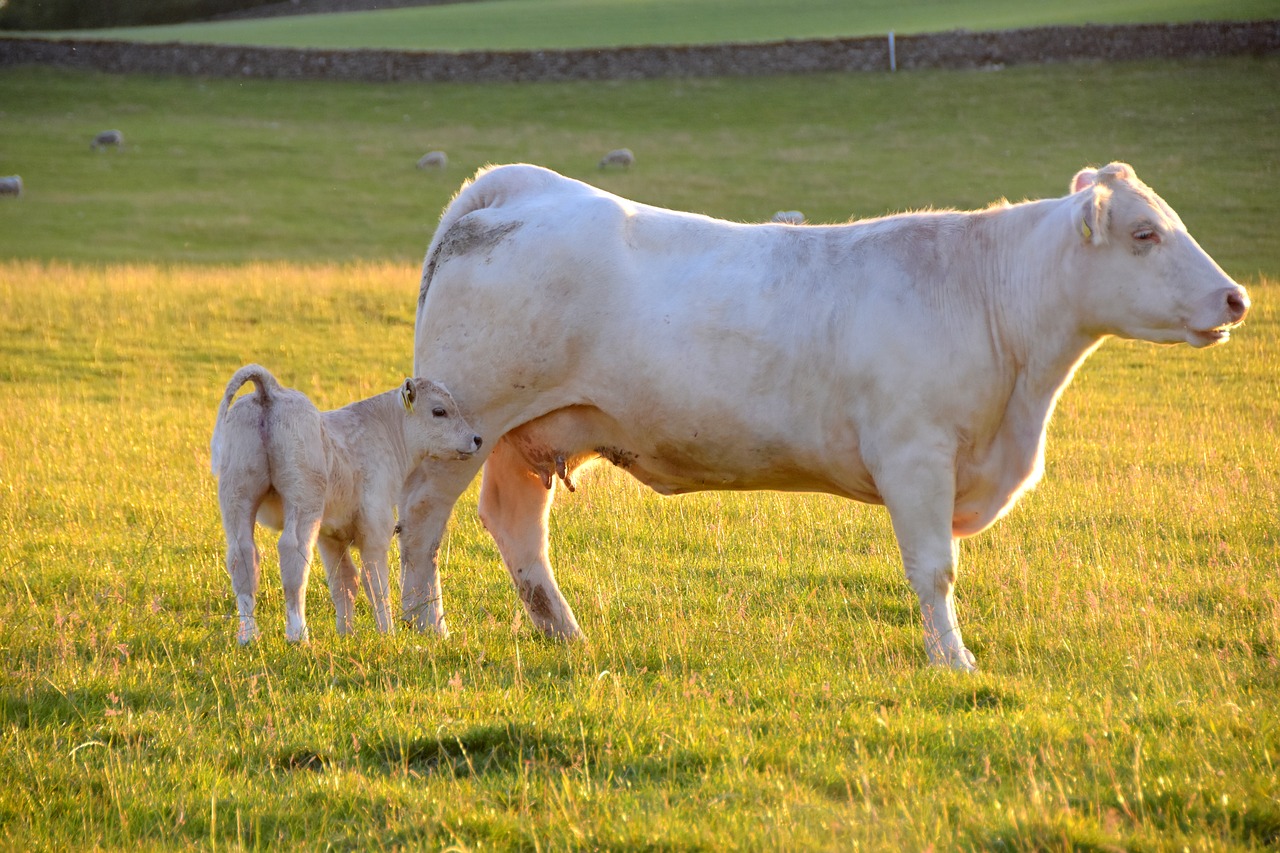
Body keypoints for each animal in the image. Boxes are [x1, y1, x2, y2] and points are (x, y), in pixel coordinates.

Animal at [212, 361, 481, 640]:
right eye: (439, 411)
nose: (477, 439)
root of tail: (269, 391)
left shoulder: (331, 537)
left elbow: (344, 581)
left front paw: (345, 633)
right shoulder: (375, 529)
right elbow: (375, 582)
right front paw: (387, 632)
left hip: (238, 495)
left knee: (242, 555)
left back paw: (248, 636)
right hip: (302, 502)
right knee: (293, 553)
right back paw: (298, 635)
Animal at [401, 157, 1249, 666]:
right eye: (1145, 232)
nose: (1236, 296)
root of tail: (520, 185)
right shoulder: (915, 454)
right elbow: (935, 568)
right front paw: (954, 660)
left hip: (524, 435)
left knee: (516, 527)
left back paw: (566, 633)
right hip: (465, 424)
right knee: (422, 523)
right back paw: (424, 627)